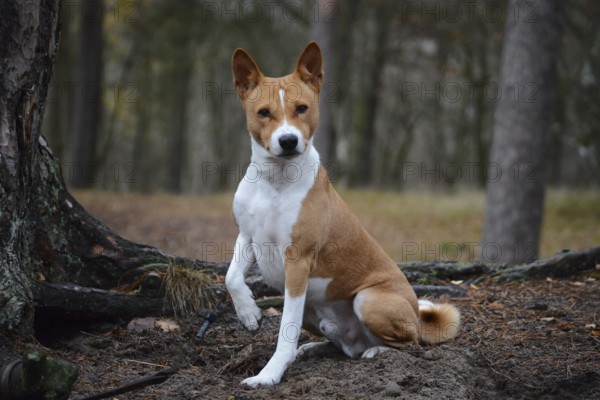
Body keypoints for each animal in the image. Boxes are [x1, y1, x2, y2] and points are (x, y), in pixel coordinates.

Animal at [225, 41, 460, 388]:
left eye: (302, 108)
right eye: (264, 113)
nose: (288, 141)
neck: (274, 181)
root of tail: (417, 314)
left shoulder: (297, 261)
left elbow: (285, 331)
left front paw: (268, 374)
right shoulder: (248, 237)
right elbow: (231, 277)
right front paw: (249, 313)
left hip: (368, 300)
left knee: (409, 342)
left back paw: (377, 352)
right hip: (314, 309)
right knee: (344, 347)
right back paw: (314, 348)